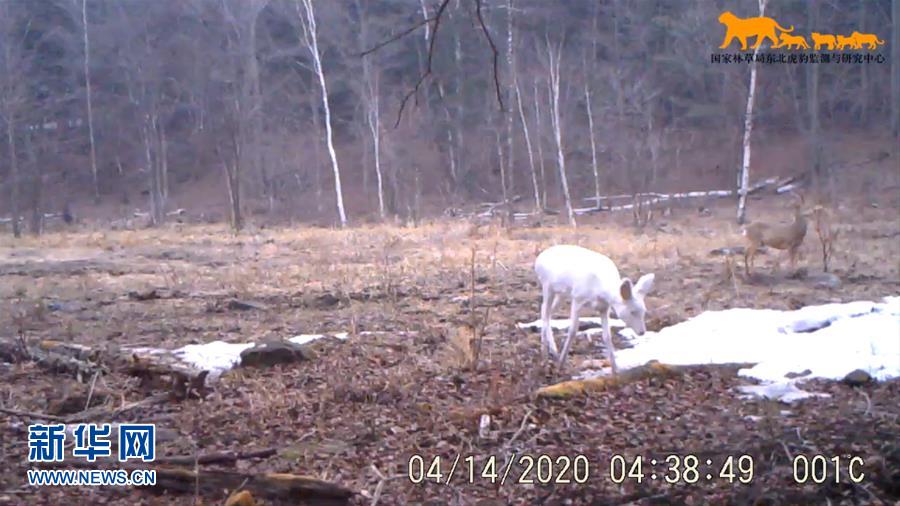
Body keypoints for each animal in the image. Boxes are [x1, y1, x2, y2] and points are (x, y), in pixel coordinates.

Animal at [536, 245, 652, 376]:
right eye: (632, 311)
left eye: (644, 311)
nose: (642, 332)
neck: (600, 291)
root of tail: (539, 258)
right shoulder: (577, 298)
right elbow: (572, 331)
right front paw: (561, 364)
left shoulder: (604, 308)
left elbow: (607, 336)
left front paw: (615, 369)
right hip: (547, 286)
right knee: (545, 312)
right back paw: (545, 354)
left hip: (561, 293)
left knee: (545, 311)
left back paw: (552, 352)